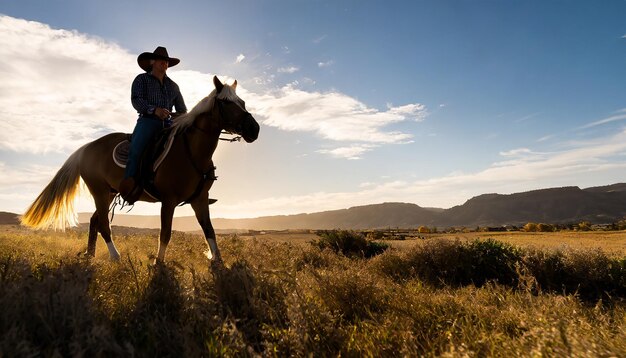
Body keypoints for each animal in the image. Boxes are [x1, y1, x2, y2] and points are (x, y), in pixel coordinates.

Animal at [20, 76, 258, 266]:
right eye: (226, 103)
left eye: (243, 102)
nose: (254, 129)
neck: (191, 150)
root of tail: (85, 149)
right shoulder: (168, 201)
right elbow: (165, 233)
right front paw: (158, 263)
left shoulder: (199, 199)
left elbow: (209, 230)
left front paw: (218, 261)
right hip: (99, 191)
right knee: (104, 224)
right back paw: (115, 257)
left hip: (109, 193)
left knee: (95, 221)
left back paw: (90, 255)